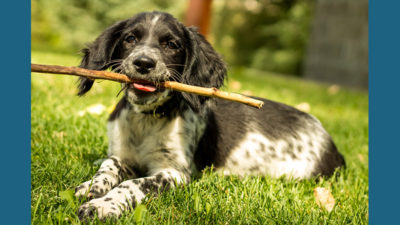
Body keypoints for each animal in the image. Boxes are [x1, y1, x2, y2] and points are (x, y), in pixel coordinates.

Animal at [74, 11, 344, 220]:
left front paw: (103, 205)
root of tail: (330, 142)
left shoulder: (176, 173)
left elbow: (135, 183)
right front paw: (92, 186)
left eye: (171, 45)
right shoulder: (122, 155)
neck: (148, 118)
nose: (143, 63)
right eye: (130, 39)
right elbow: (108, 166)